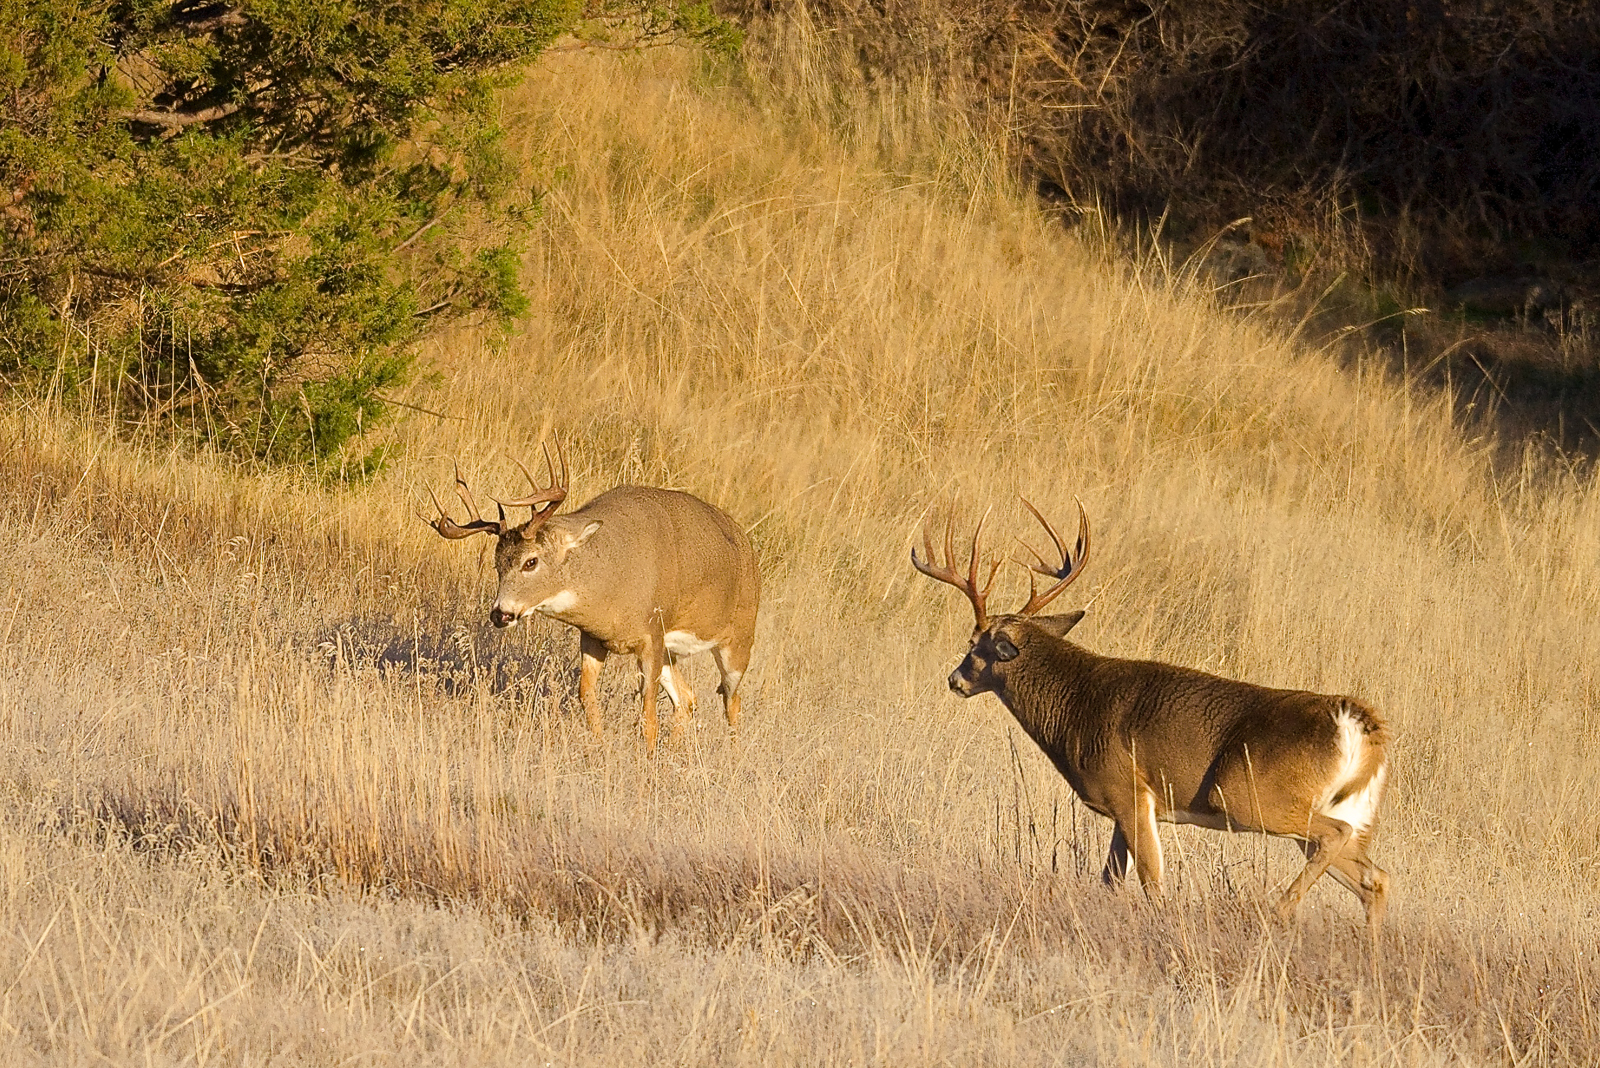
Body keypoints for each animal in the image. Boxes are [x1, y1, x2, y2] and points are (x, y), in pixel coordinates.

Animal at [427, 443, 760, 751]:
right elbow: (586, 695)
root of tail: (745, 543)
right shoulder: (594, 637)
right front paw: (599, 749)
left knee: (732, 700)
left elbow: (648, 714)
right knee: (688, 699)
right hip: (672, 652)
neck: (612, 582)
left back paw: (732, 757)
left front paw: (647, 763)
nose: (501, 614)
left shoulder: (652, 633)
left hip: (739, 637)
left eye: (531, 561)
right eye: (497, 564)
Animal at [911, 500, 1390, 935]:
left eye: (975, 643)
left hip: (1249, 795)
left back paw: (1279, 909)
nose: (955, 680)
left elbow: (1152, 883)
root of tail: (1359, 724)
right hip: (1340, 810)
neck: (1075, 705)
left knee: (1339, 840)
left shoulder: (1127, 788)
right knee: (1376, 878)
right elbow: (1109, 879)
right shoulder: (1129, 805)